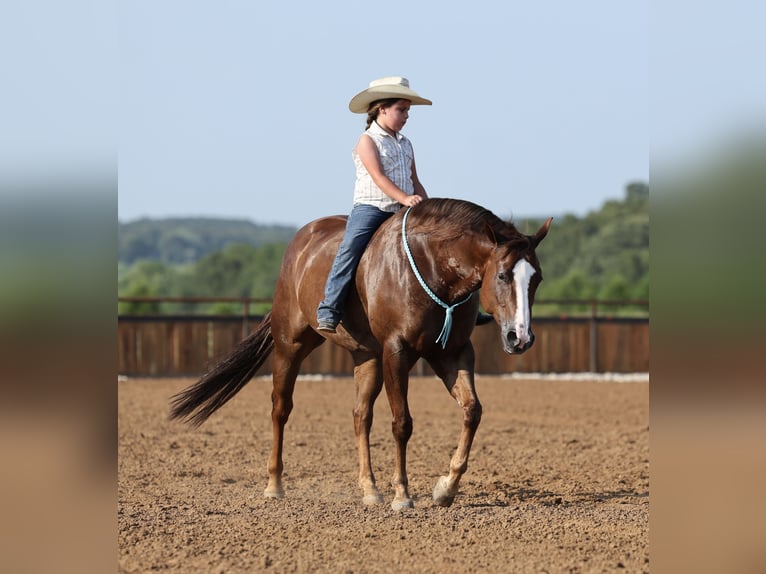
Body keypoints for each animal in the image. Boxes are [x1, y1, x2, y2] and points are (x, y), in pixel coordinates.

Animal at [170, 198, 552, 510]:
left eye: (536, 279)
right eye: (502, 275)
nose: (520, 337)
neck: (433, 268)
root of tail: (300, 244)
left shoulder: (452, 352)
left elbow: (472, 411)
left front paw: (445, 488)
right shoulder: (396, 351)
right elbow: (402, 423)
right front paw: (402, 494)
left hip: (365, 357)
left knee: (360, 415)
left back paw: (369, 489)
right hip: (290, 345)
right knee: (281, 409)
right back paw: (275, 485)